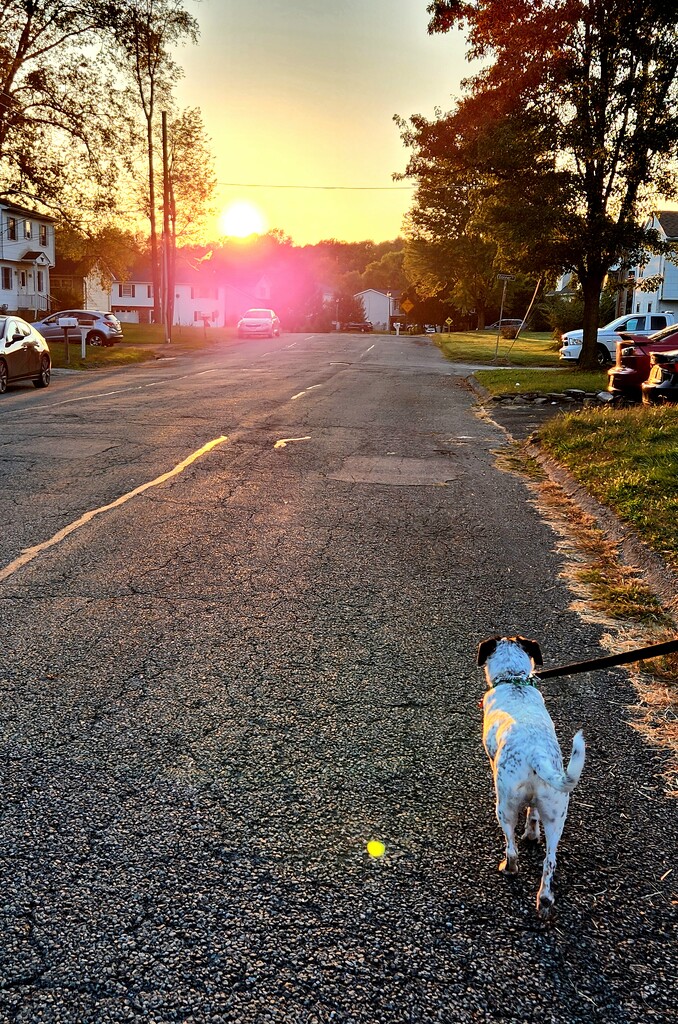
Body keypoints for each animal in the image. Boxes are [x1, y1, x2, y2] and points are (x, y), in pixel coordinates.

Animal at [477, 630, 585, 921]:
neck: (514, 680)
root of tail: (536, 752)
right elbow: (533, 814)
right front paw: (531, 833)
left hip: (503, 807)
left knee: (511, 848)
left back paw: (508, 868)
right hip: (557, 813)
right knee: (550, 860)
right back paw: (545, 900)